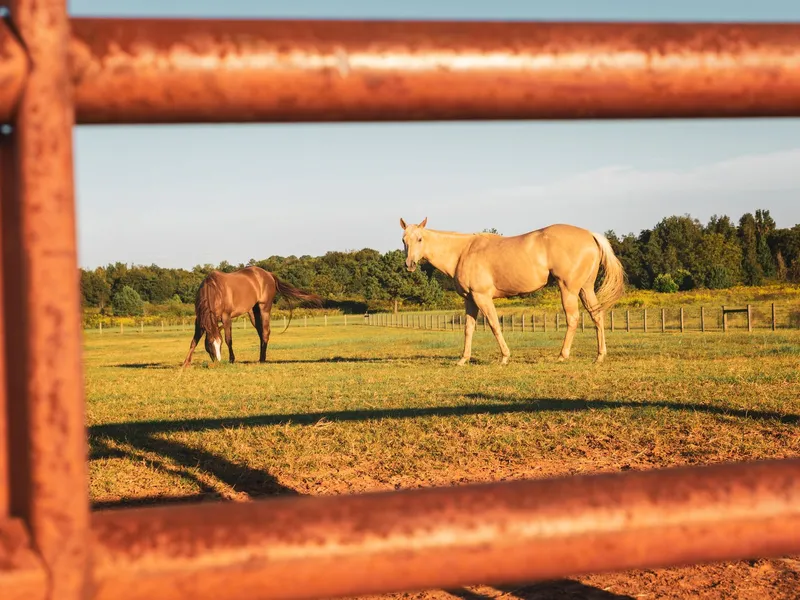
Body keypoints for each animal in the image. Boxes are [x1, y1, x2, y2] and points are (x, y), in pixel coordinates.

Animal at [181, 266, 323, 368]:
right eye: (210, 343)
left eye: (219, 343)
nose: (218, 362)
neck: (214, 290)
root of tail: (269, 274)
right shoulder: (199, 320)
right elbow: (194, 341)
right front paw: (186, 363)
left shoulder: (226, 317)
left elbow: (228, 339)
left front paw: (232, 359)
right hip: (253, 312)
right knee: (261, 333)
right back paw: (261, 357)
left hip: (264, 308)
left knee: (265, 332)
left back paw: (262, 359)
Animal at [399, 217, 626, 365]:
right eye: (404, 240)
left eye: (420, 239)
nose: (409, 264)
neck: (463, 251)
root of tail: (590, 235)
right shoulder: (470, 300)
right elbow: (468, 328)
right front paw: (463, 359)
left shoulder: (482, 297)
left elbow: (494, 325)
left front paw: (505, 357)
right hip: (585, 289)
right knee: (597, 315)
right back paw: (599, 356)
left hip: (568, 289)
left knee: (573, 318)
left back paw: (563, 355)